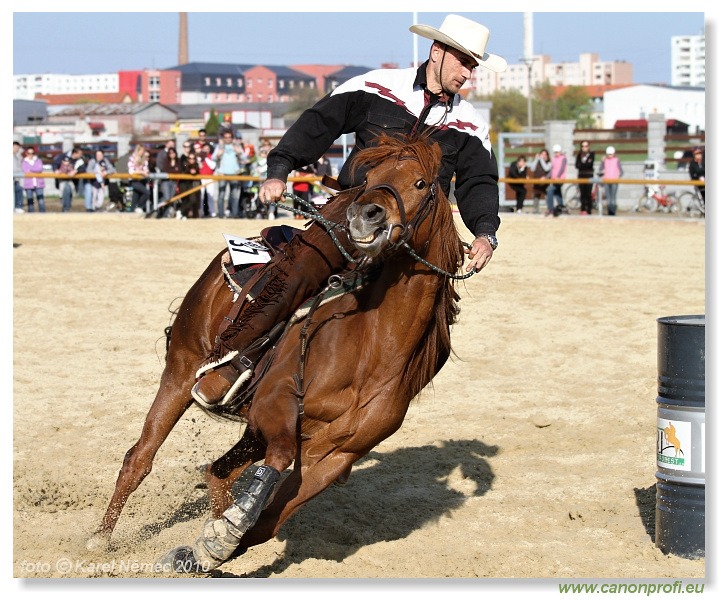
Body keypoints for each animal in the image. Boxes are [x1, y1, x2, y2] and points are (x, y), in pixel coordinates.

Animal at [87, 136, 466, 572]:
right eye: (369, 178)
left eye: (421, 183)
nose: (364, 215)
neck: (372, 348)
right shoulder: (275, 405)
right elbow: (278, 460)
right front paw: (216, 542)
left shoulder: (336, 455)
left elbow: (269, 520)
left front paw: (211, 547)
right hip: (181, 372)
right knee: (140, 458)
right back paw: (99, 539)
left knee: (219, 473)